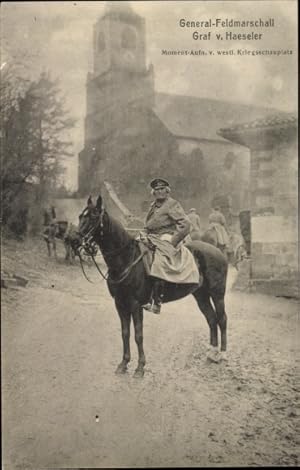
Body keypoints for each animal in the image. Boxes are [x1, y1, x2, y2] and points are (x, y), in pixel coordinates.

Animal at [74, 196, 229, 378]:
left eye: (93, 217)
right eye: (80, 216)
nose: (74, 240)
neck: (127, 258)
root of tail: (219, 252)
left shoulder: (135, 305)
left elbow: (138, 335)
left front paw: (140, 368)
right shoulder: (120, 303)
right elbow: (125, 333)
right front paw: (123, 364)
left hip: (217, 294)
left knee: (222, 319)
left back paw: (223, 355)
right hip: (201, 295)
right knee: (211, 319)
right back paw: (212, 354)